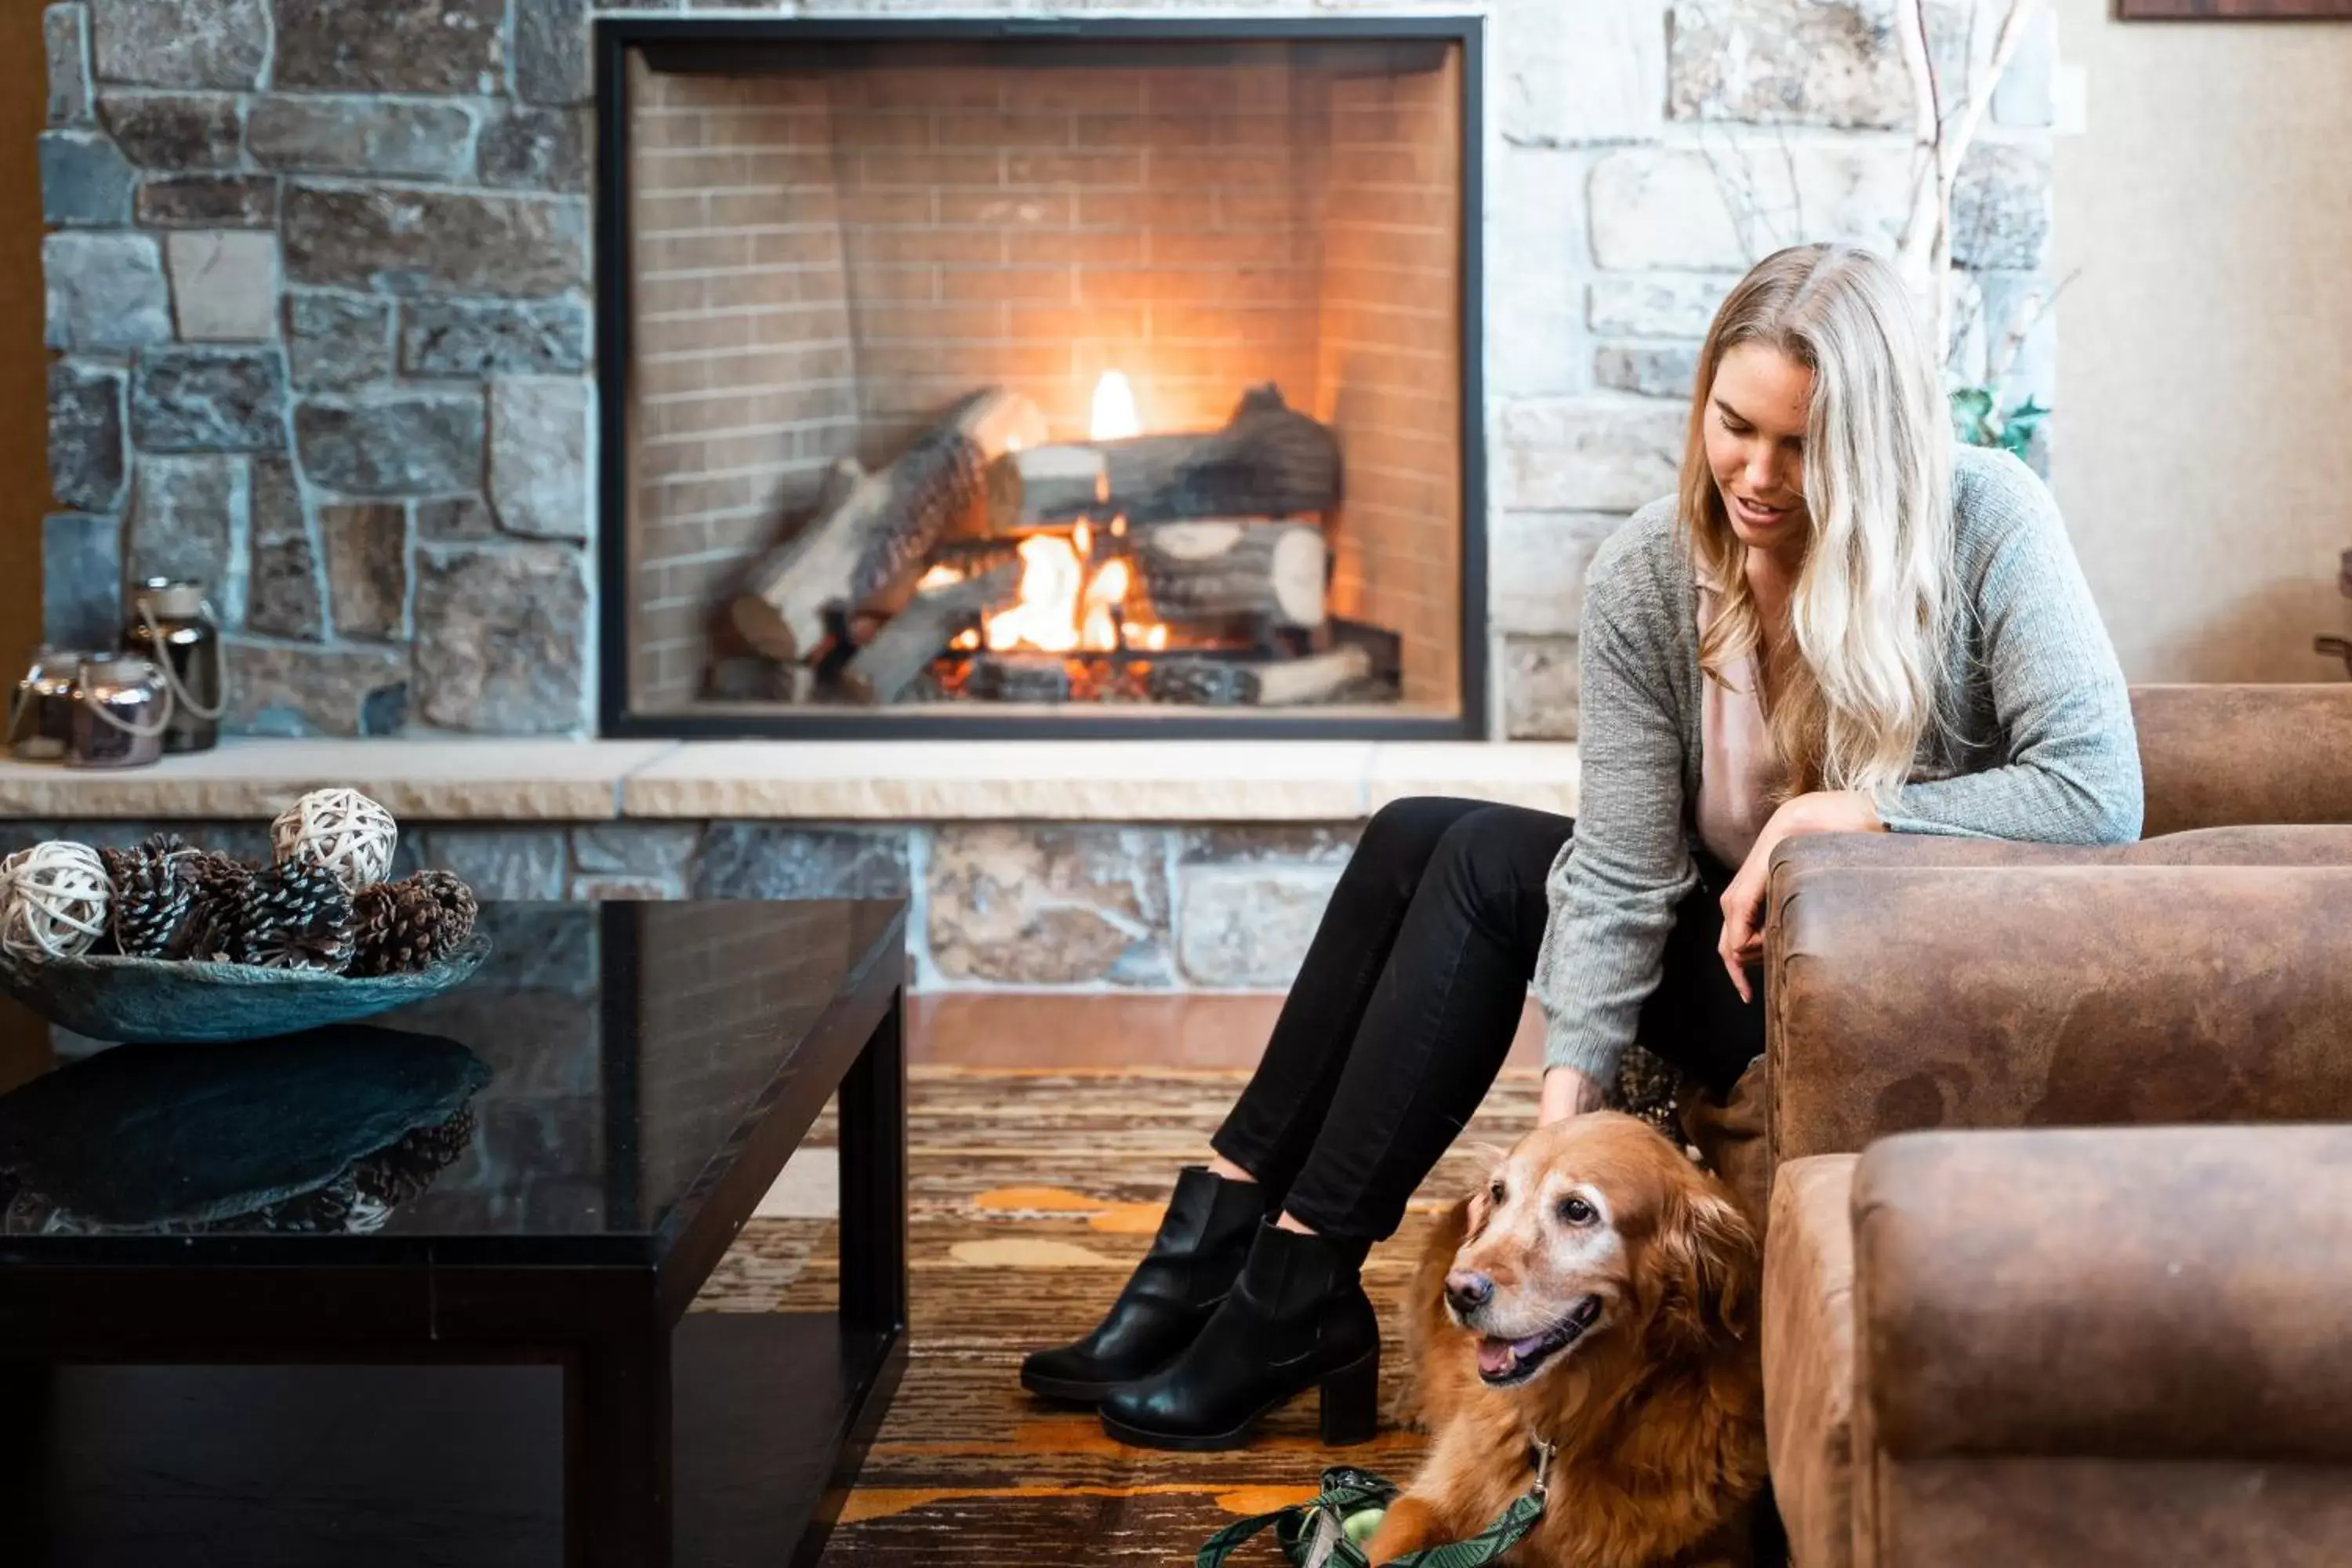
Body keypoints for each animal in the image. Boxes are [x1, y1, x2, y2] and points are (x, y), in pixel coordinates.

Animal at [1364, 1114, 1769, 1568]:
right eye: (1499, 1193)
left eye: (1577, 1210)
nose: (1459, 1290)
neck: (1572, 1414)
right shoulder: (1426, 1504)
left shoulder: (1718, 1547)